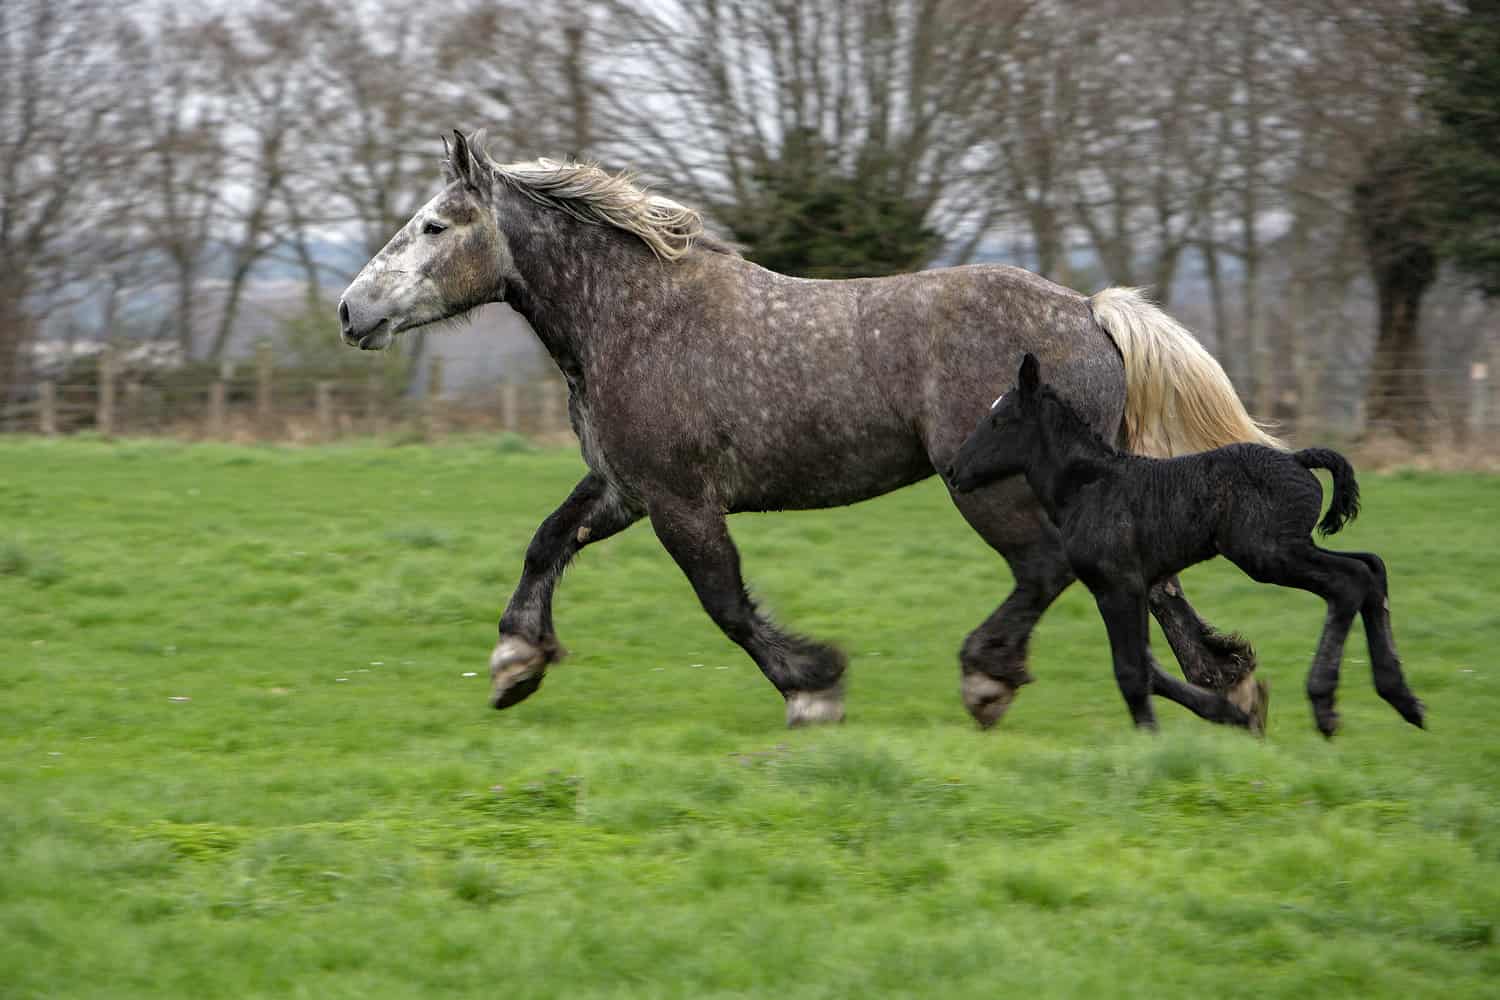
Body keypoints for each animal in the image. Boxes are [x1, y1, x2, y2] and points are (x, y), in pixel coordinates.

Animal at [338, 129, 1277, 729]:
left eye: (434, 225)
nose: (351, 312)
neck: (633, 319)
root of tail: (1090, 312)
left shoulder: (681, 500)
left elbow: (723, 601)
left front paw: (813, 687)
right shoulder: (625, 489)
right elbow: (545, 543)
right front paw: (515, 664)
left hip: (996, 488)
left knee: (1047, 569)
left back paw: (990, 679)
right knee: (1144, 576)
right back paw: (1229, 693)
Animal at [946, 353, 1425, 736]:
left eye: (999, 421)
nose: (953, 470)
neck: (1090, 486)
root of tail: (1296, 459)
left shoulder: (1119, 585)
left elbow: (1132, 671)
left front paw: (1150, 741)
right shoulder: (1129, 587)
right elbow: (1149, 667)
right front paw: (1232, 714)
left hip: (1269, 554)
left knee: (1349, 580)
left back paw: (1326, 704)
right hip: (1290, 548)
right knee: (1371, 567)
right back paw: (1402, 698)